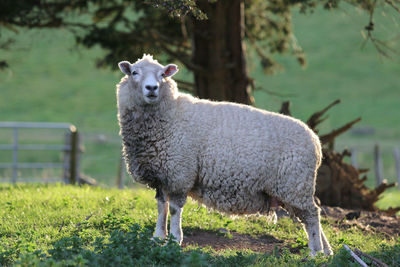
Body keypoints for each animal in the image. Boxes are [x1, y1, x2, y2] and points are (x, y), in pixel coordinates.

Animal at [116, 55, 334, 258]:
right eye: (134, 72)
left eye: (162, 74)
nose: (152, 88)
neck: (169, 115)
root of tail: (316, 142)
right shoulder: (161, 175)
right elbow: (162, 207)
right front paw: (157, 238)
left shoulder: (180, 173)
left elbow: (175, 209)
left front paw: (174, 240)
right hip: (293, 189)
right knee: (311, 215)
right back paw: (327, 251)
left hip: (295, 184)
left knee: (312, 215)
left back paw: (315, 252)